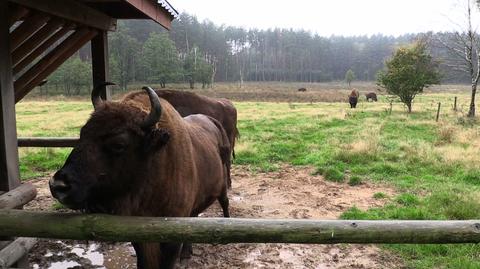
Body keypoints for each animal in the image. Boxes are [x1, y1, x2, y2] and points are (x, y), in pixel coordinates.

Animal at [49, 82, 231, 266]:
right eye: (82, 133)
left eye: (119, 144)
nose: (58, 185)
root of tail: (214, 123)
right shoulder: (139, 233)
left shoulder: (172, 234)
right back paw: (186, 253)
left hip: (222, 184)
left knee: (224, 202)